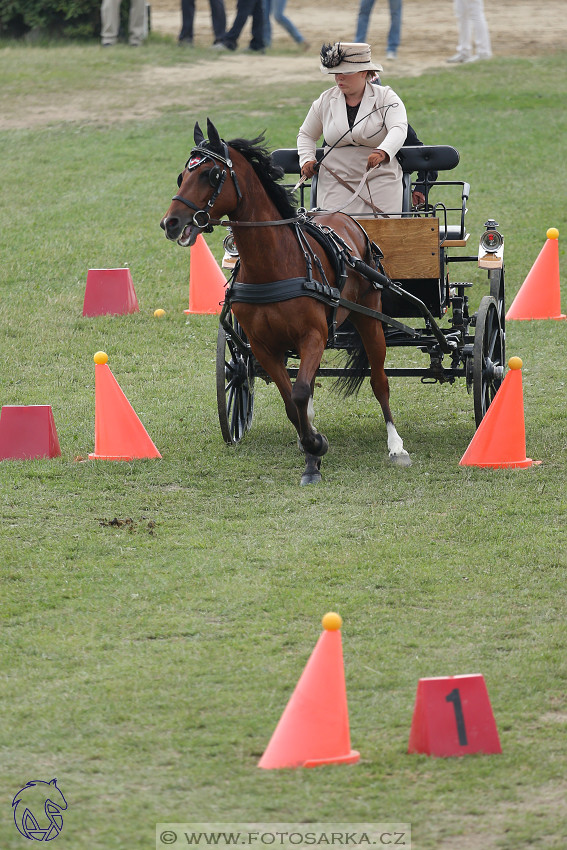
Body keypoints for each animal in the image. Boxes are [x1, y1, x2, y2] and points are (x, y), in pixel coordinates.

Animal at [159, 117, 408, 484]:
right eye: (182, 176)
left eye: (211, 175)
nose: (171, 223)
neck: (273, 265)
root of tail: (348, 218)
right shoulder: (264, 347)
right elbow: (292, 400)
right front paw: (312, 448)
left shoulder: (313, 335)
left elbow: (301, 392)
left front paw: (315, 448)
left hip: (370, 319)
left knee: (379, 381)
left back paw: (396, 446)